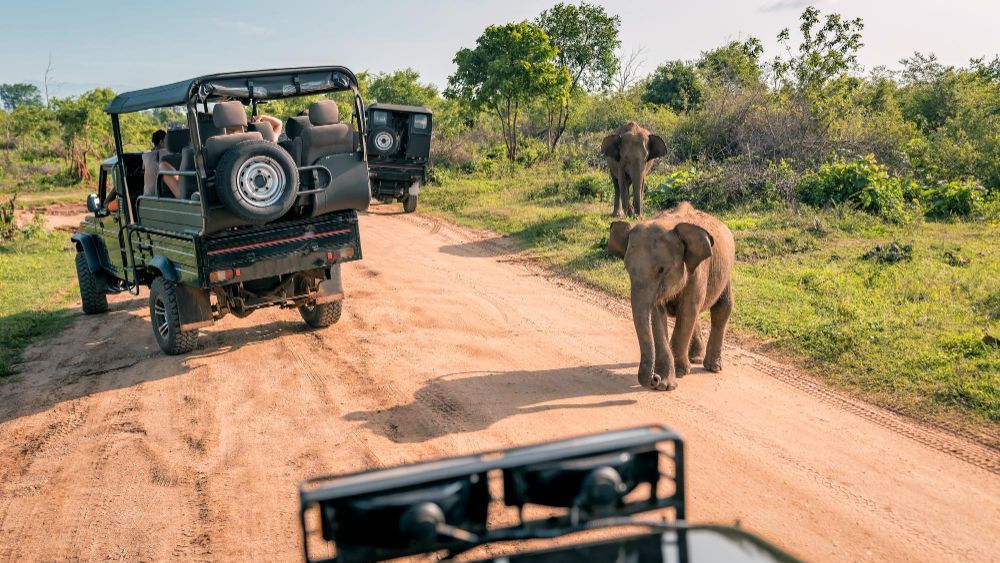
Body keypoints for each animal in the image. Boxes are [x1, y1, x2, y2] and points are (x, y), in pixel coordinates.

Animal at [607, 202, 735, 391]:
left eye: (661, 269)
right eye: (628, 269)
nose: (654, 378)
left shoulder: (698, 271)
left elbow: (688, 310)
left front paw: (680, 372)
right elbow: (657, 316)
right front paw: (665, 384)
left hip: (726, 272)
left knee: (721, 308)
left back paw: (712, 367)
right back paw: (695, 358)